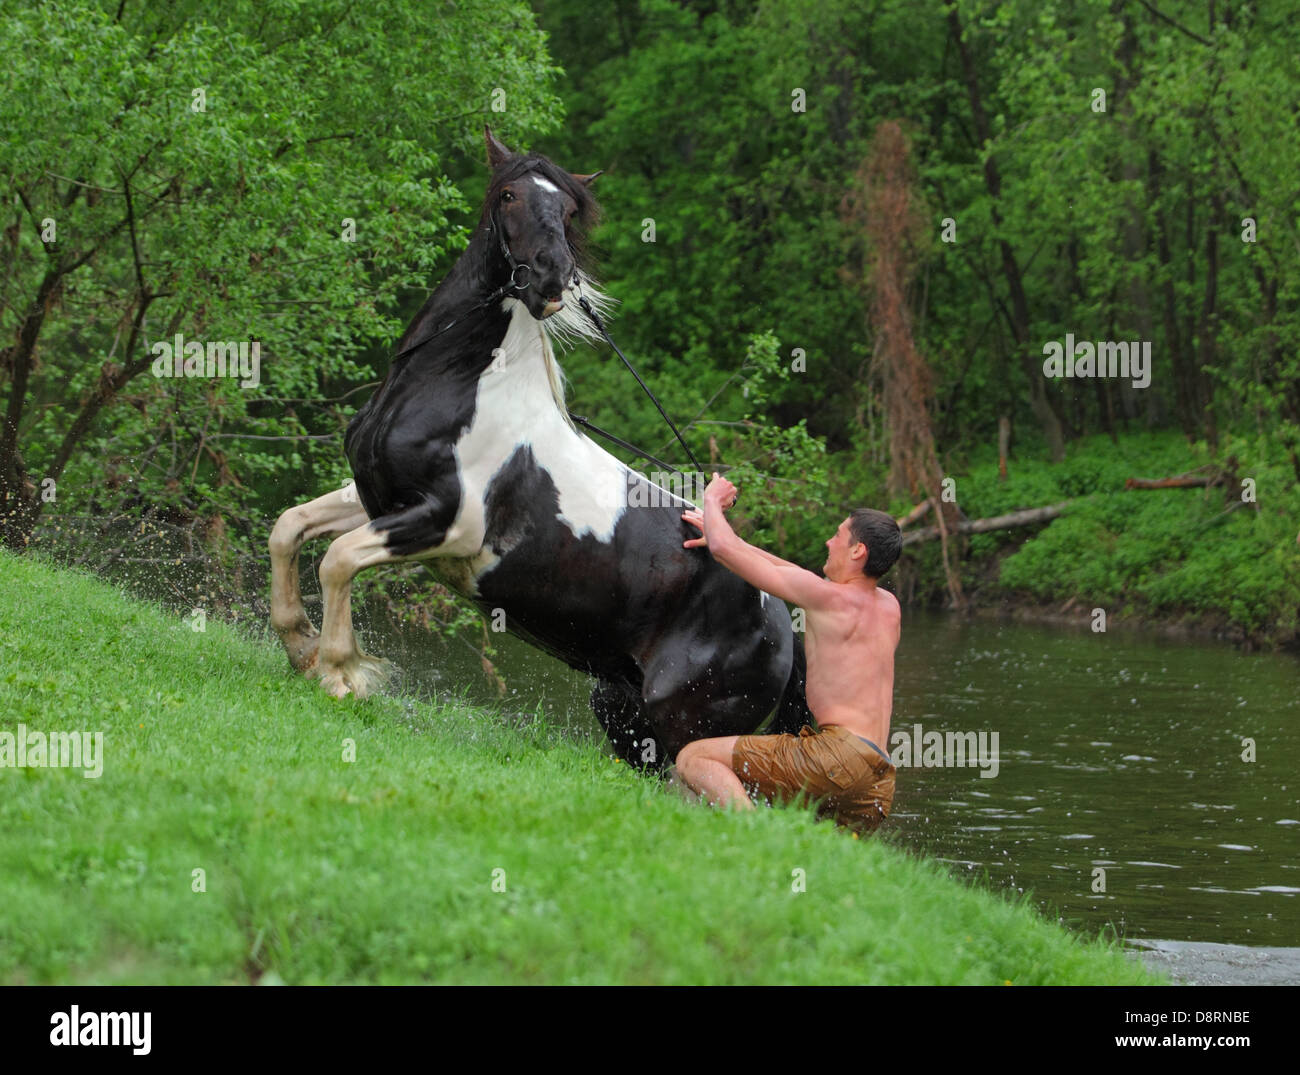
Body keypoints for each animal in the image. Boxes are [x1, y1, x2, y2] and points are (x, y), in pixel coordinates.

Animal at [269, 128, 806, 764]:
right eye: (508, 195)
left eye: (569, 210)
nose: (552, 275)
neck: (457, 386)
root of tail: (785, 621)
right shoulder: (379, 496)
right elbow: (289, 528)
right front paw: (300, 646)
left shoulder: (446, 524)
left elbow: (337, 559)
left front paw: (341, 674)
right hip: (622, 712)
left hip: (683, 732)